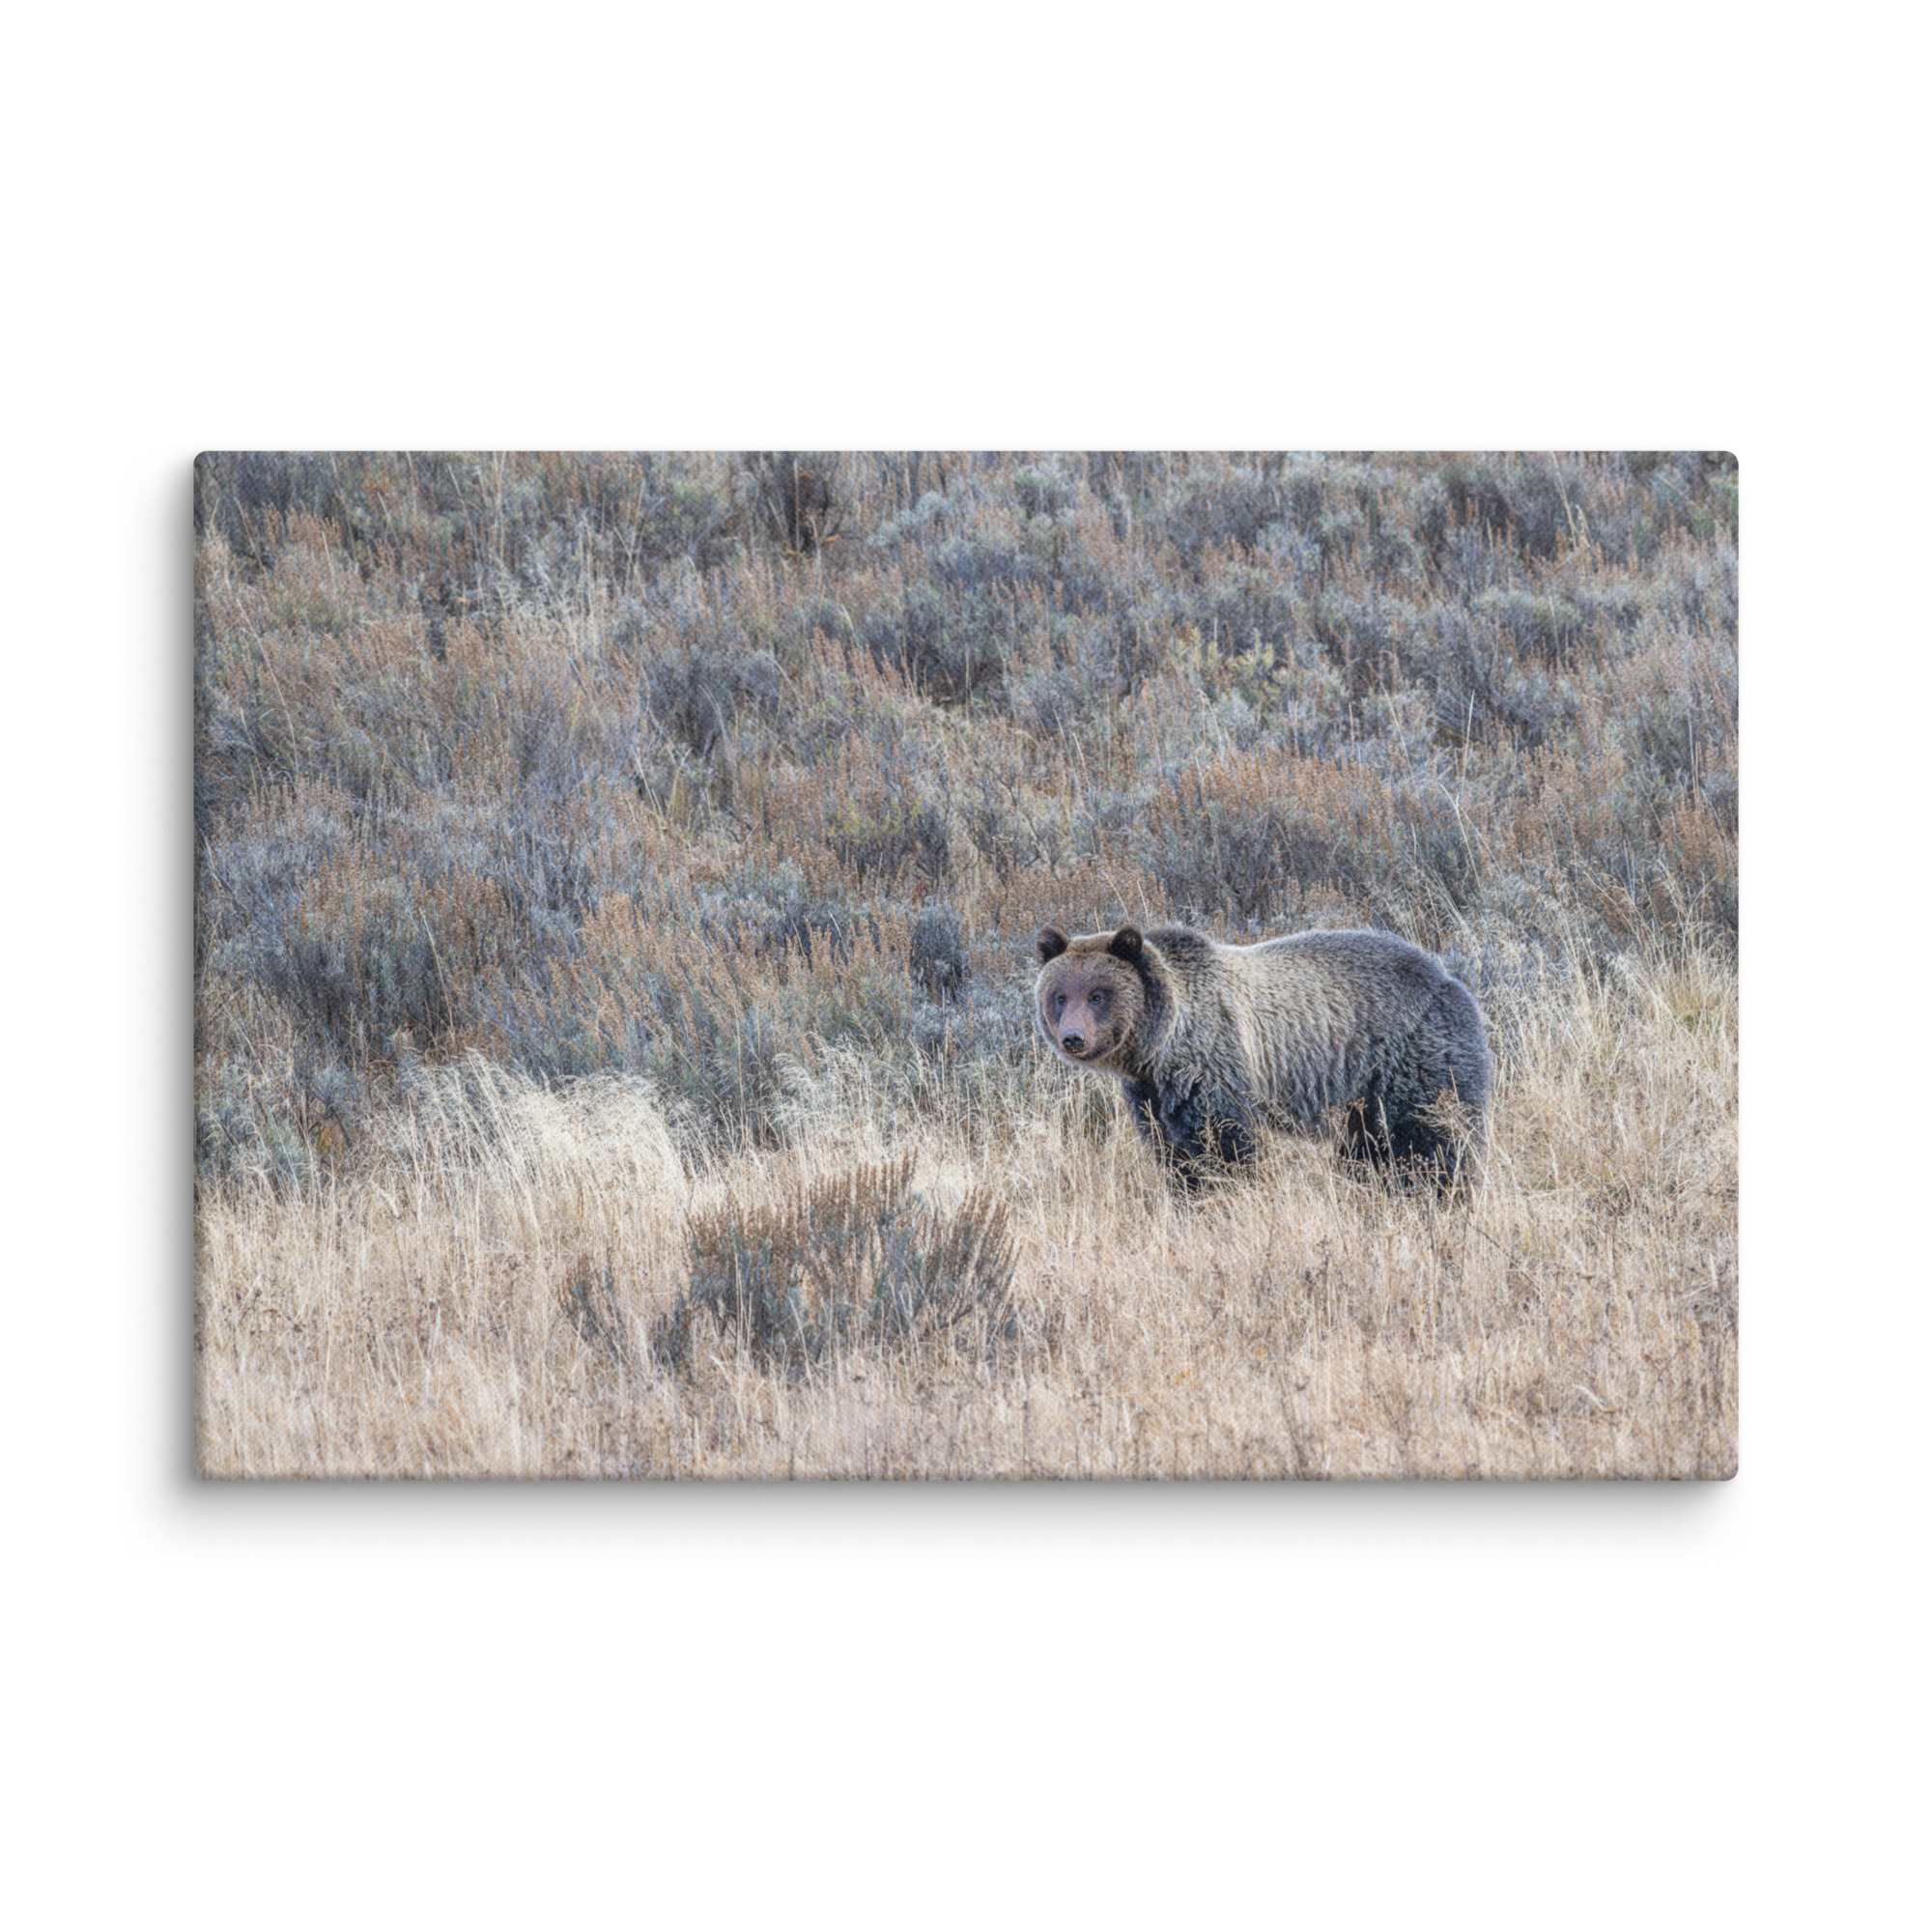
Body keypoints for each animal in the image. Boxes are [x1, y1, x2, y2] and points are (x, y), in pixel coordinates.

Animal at [1033, 921, 1490, 1187]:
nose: (1073, 1038)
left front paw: (1226, 1190)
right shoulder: (1150, 1093)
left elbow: (1224, 1143)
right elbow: (1171, 1150)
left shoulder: (1212, 1062)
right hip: (1362, 1096)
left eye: (1098, 995)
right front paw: (1186, 1190)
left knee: (1430, 1137)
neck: (1158, 1046)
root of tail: (1449, 979)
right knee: (1368, 1148)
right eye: (1060, 996)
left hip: (1411, 1056)